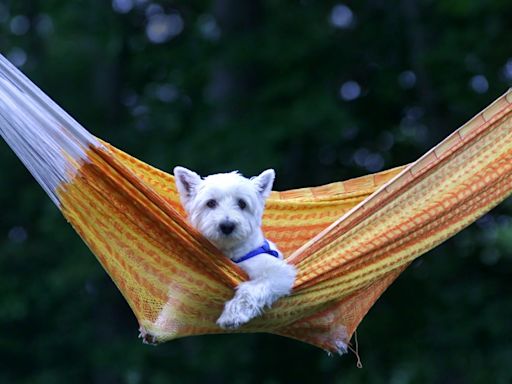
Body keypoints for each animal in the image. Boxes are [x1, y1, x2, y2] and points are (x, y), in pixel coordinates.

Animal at [174, 166, 298, 328]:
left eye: (242, 203)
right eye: (211, 203)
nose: (227, 226)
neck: (229, 252)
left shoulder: (276, 271)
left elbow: (250, 289)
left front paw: (232, 316)